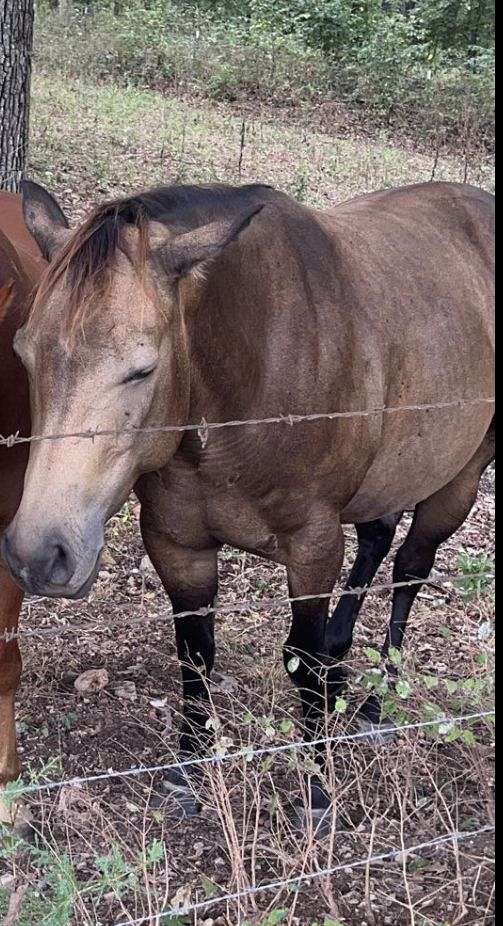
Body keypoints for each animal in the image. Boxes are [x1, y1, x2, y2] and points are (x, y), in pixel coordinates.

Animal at [0, 179, 496, 812]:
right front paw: (188, 768)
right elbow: (195, 653)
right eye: (23, 352)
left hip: (460, 476)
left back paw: (376, 702)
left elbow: (302, 660)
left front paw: (317, 785)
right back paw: (344, 659)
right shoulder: (177, 544)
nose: (39, 555)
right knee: (379, 537)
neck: (252, 377)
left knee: (411, 567)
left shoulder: (312, 549)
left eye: (141, 370)